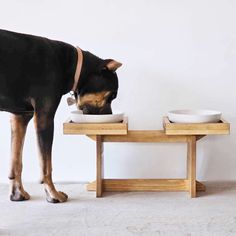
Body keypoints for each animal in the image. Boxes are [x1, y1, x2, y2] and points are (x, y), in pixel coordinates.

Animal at [0, 29, 121, 203]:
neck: (72, 65)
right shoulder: (44, 118)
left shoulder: (20, 117)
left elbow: (16, 162)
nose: (110, 117)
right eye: (112, 95)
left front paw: (17, 194)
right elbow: (46, 165)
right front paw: (53, 194)